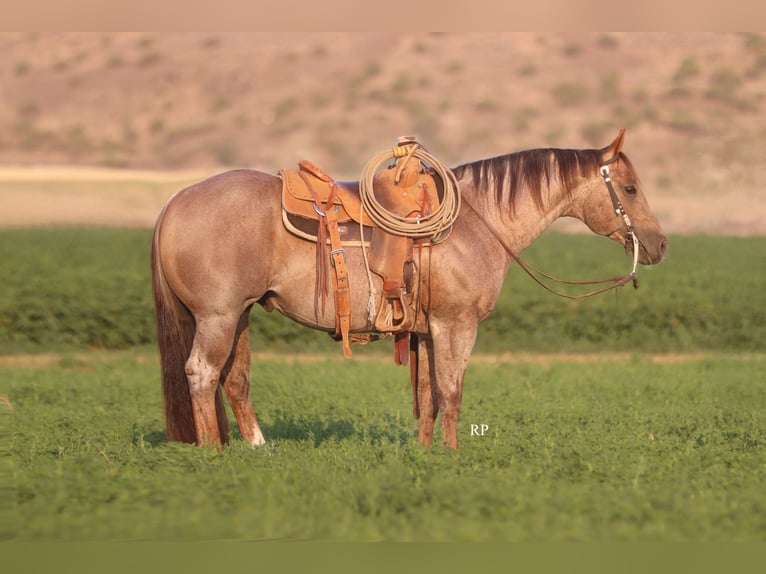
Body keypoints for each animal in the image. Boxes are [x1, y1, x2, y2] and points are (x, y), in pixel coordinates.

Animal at [151, 128, 667, 450]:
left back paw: (259, 449)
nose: (660, 244)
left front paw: (426, 455)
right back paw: (213, 453)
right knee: (201, 373)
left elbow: (430, 395)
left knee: (235, 380)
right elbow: (452, 391)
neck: (477, 220)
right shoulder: (456, 325)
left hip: (239, 315)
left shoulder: (425, 330)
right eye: (630, 188)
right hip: (217, 317)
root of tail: (176, 199)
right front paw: (453, 456)